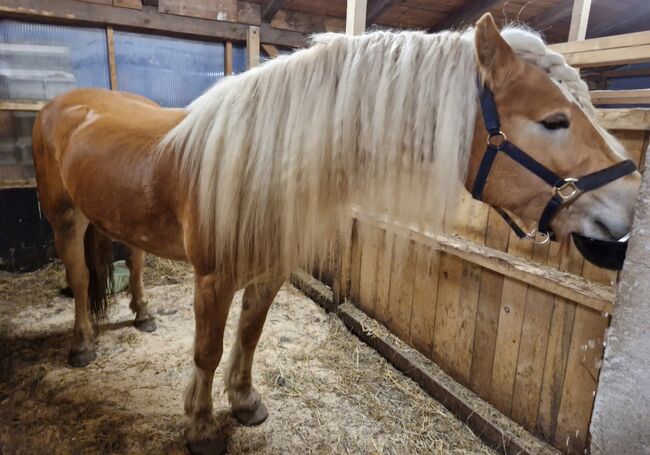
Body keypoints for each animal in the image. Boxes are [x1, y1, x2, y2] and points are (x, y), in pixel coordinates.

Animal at [31, 14, 636, 455]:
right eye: (554, 121)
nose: (630, 206)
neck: (259, 159)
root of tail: (66, 103)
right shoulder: (213, 279)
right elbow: (207, 349)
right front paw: (200, 427)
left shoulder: (270, 271)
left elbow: (249, 335)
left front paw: (244, 403)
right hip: (65, 218)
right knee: (80, 280)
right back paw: (83, 345)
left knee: (131, 262)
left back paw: (142, 313)